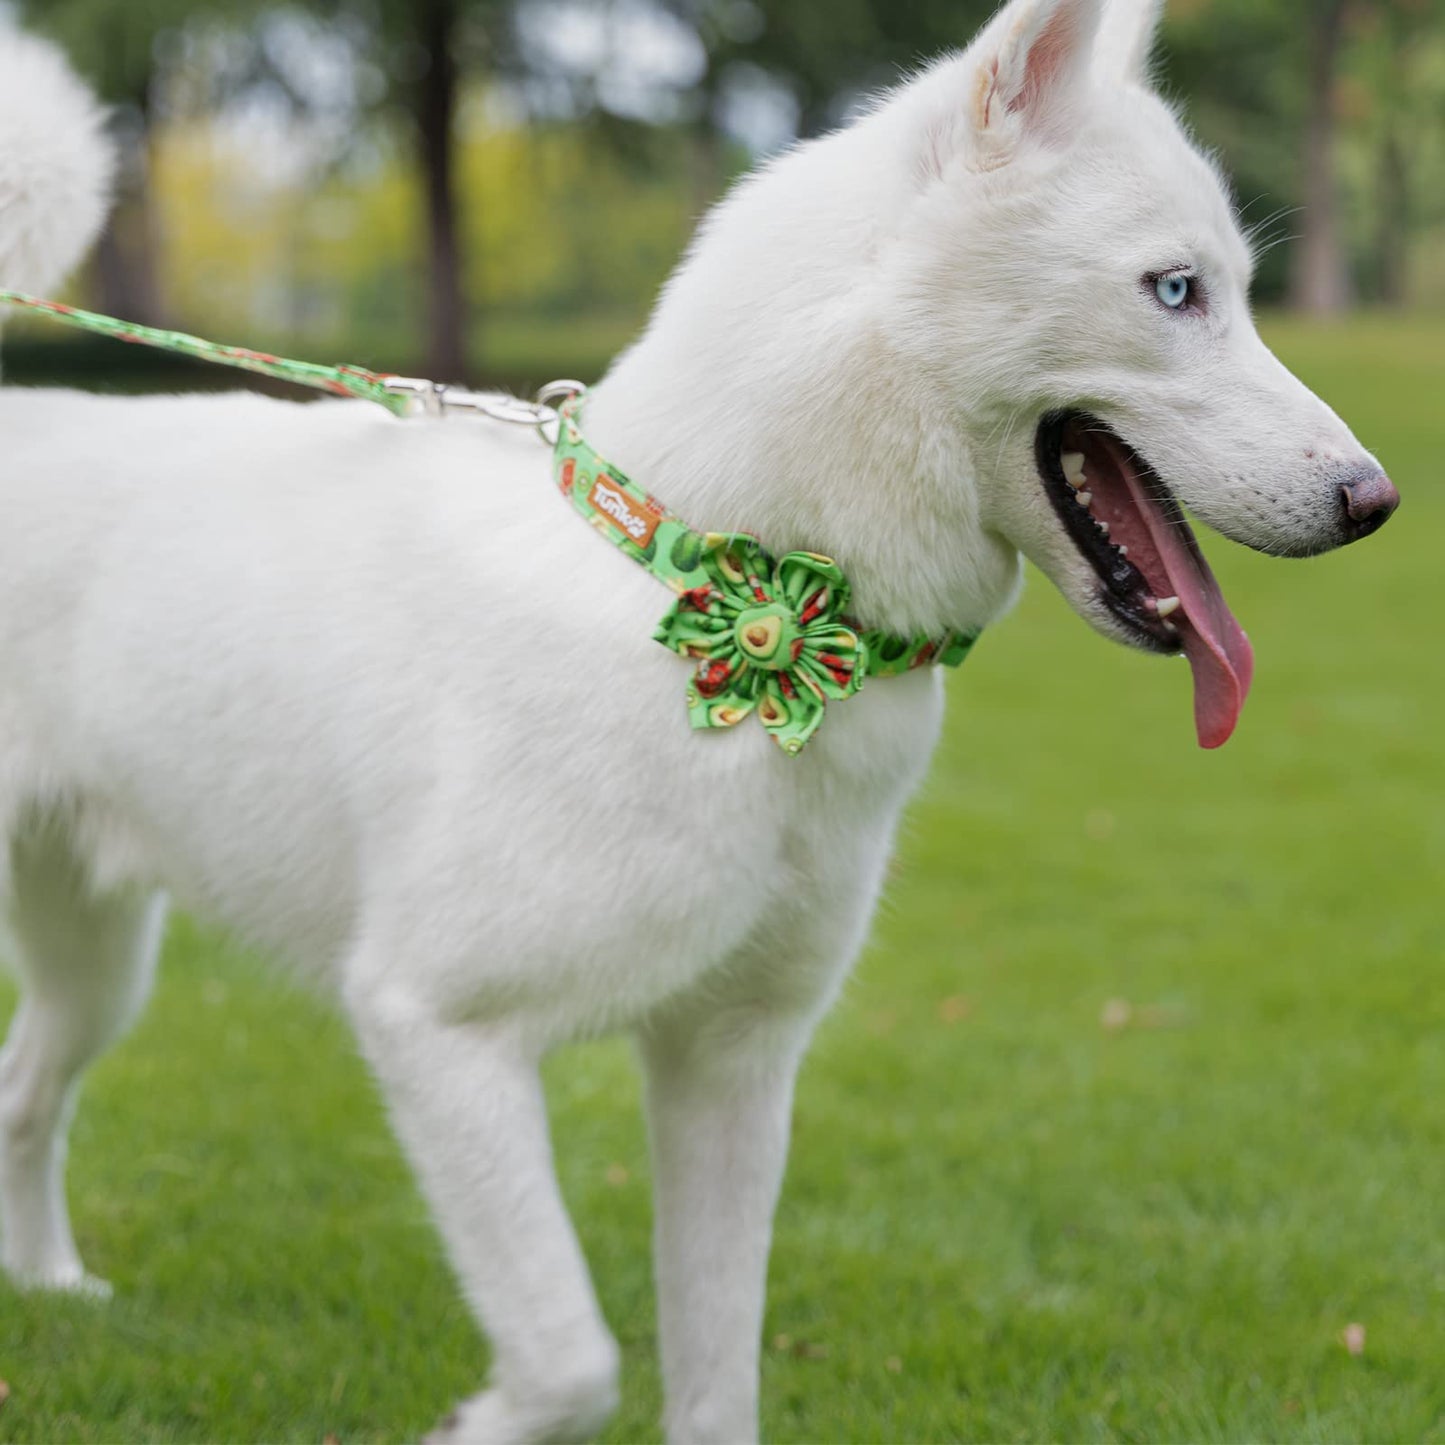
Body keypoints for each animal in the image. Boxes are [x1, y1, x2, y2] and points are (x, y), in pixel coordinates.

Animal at [0, 0, 1398, 1439]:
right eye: (1177, 291)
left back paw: (51, 1288)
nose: (1374, 500)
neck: (727, 578)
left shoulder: (729, 1066)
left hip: (98, 964)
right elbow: (569, 1361)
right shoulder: (438, 1030)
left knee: (21, 1099)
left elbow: (715, 1371)